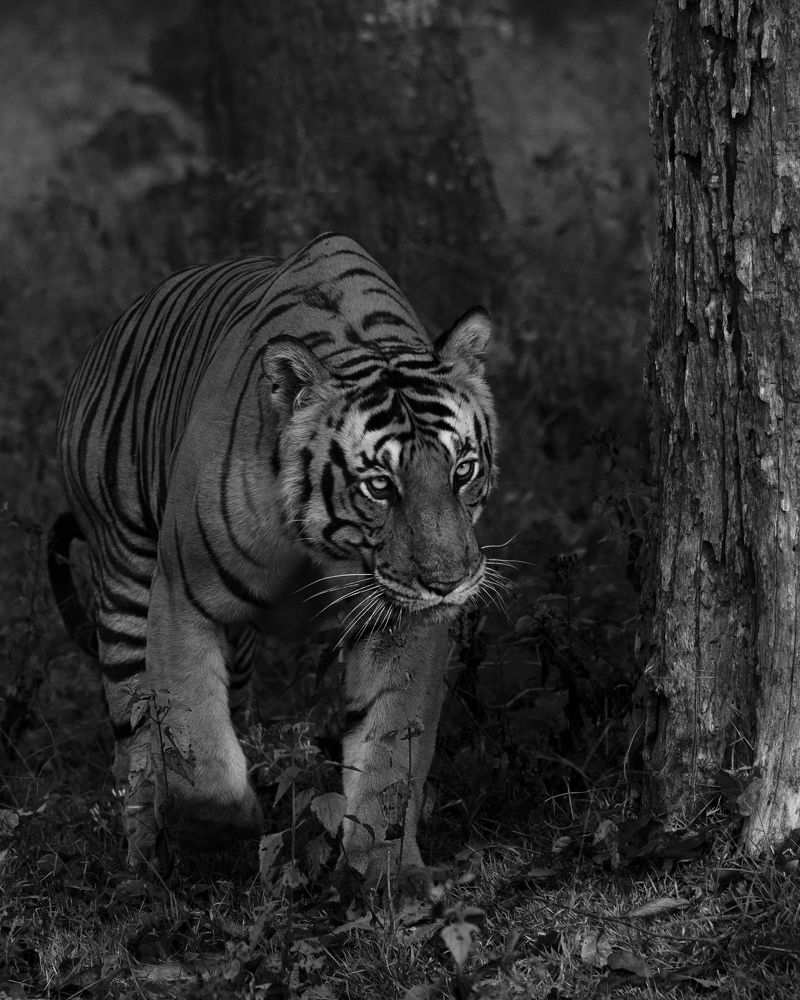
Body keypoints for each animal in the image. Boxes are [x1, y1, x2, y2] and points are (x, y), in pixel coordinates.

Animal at [48, 232, 497, 879]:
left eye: (463, 470)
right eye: (379, 486)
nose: (449, 582)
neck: (328, 545)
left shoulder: (401, 618)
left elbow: (391, 750)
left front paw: (388, 875)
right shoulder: (183, 596)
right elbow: (193, 749)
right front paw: (221, 829)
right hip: (124, 576)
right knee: (133, 737)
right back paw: (146, 859)